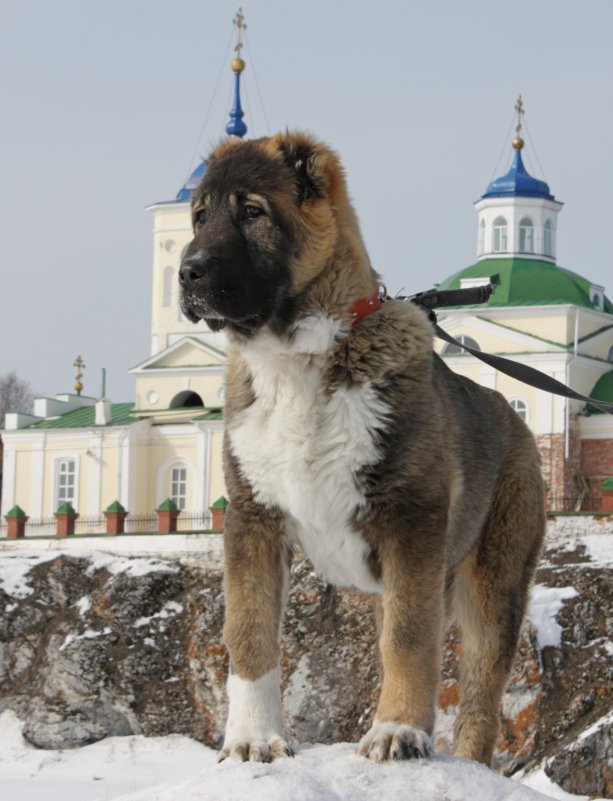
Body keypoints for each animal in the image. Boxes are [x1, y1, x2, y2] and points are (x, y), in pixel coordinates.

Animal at [178, 130, 544, 764]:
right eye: (199, 216)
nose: (187, 272)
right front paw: (253, 739)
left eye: (252, 212)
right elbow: (249, 633)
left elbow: (409, 640)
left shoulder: (411, 523)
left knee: (481, 697)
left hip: (494, 584)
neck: (296, 359)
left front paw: (398, 729)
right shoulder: (252, 519)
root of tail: (512, 416)